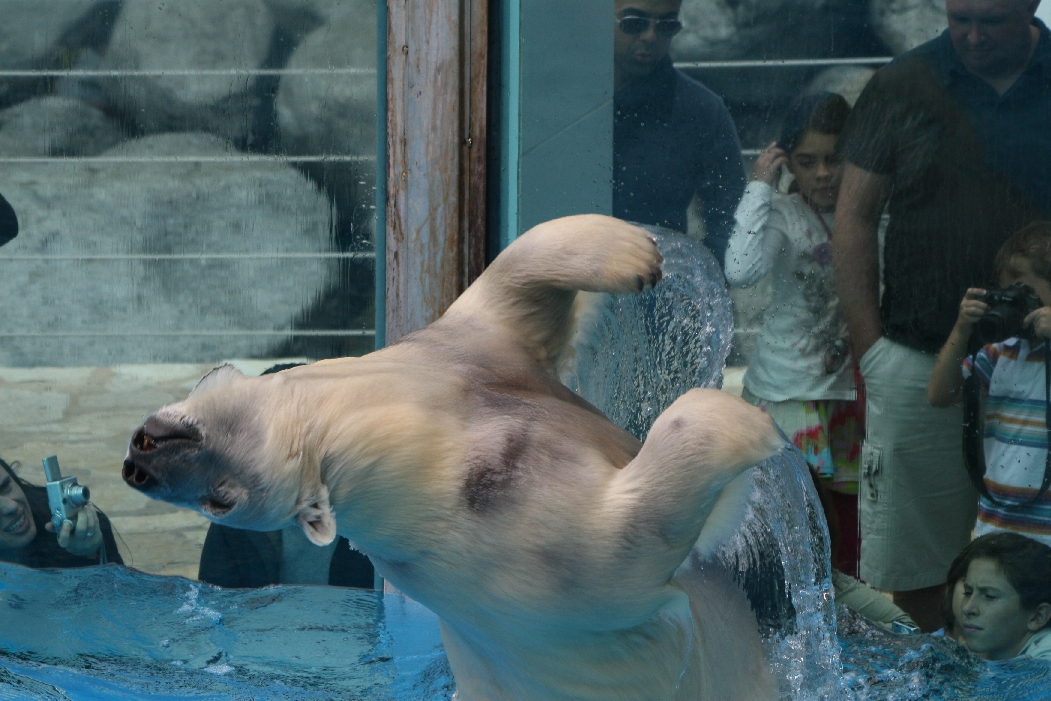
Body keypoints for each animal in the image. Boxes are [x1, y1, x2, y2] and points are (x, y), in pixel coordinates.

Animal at [122, 214, 784, 701]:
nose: (138, 465)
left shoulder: (462, 355)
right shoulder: (535, 561)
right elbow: (630, 535)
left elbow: (512, 291)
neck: (432, 452)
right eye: (219, 501)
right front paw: (748, 426)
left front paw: (638, 253)